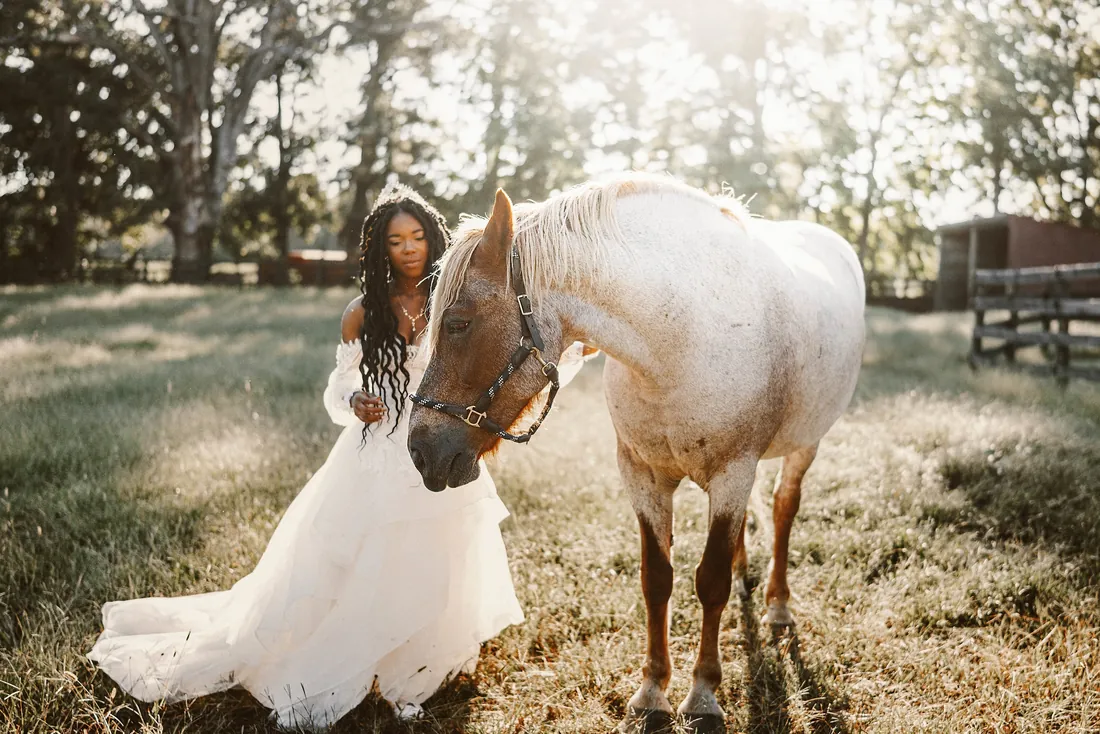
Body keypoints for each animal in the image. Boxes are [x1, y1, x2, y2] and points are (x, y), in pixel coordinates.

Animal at [407, 173, 865, 732]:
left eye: (457, 323)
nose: (420, 449)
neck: (681, 338)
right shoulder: (641, 475)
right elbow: (657, 580)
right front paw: (652, 691)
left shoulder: (733, 474)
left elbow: (709, 582)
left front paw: (702, 695)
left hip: (805, 445)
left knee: (783, 509)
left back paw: (778, 605)